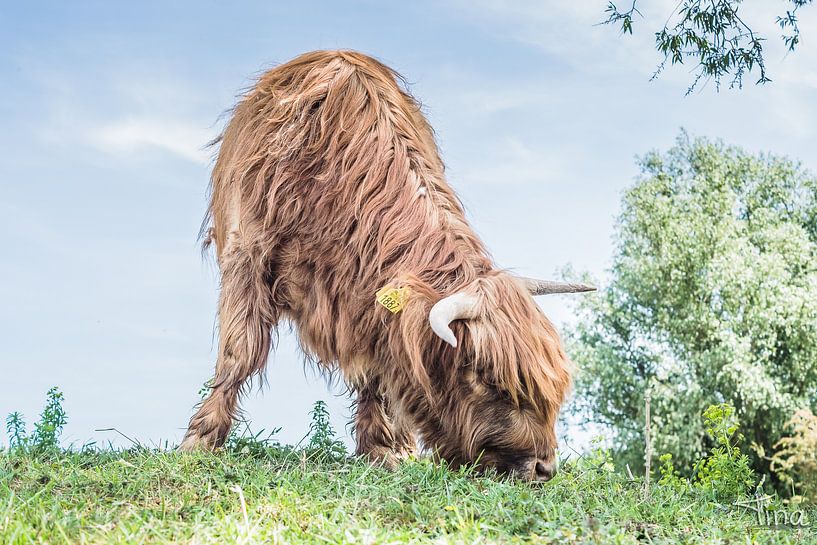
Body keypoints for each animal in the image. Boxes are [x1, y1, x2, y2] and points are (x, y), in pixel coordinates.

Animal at [182, 50, 592, 480]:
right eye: (490, 381)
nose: (543, 468)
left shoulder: (364, 298)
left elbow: (377, 371)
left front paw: (382, 450)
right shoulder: (247, 255)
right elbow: (238, 351)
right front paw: (200, 440)